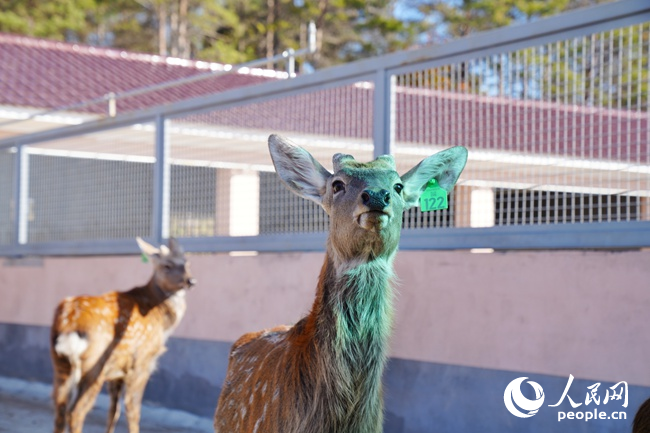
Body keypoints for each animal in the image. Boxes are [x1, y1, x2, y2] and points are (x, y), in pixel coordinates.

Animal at [50, 237, 195, 433]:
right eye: (167, 265)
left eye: (186, 262)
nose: (190, 280)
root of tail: (68, 324)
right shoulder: (142, 362)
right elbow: (133, 410)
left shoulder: (117, 370)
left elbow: (113, 411)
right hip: (94, 365)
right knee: (75, 412)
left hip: (60, 363)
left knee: (60, 409)